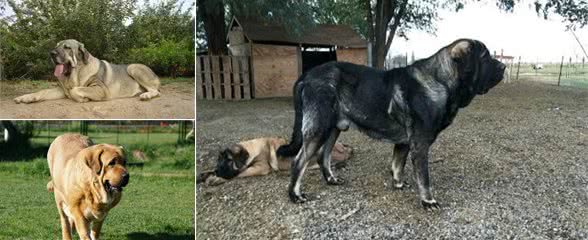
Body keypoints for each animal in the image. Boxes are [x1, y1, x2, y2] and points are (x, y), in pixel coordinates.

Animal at [198, 137, 354, 186]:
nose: (218, 170)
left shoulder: (261, 166)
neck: (251, 148)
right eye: (219, 160)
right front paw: (205, 174)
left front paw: (216, 178)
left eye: (229, 160)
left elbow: (241, 172)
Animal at [278, 39, 508, 210]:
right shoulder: (420, 144)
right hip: (319, 128)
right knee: (299, 161)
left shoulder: (405, 142)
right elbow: (424, 177)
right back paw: (294, 195)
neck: (440, 81)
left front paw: (398, 183)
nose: (504, 66)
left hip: (333, 128)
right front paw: (428, 200)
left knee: (322, 156)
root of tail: (307, 75)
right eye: (485, 57)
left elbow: (397, 164)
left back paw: (331, 180)